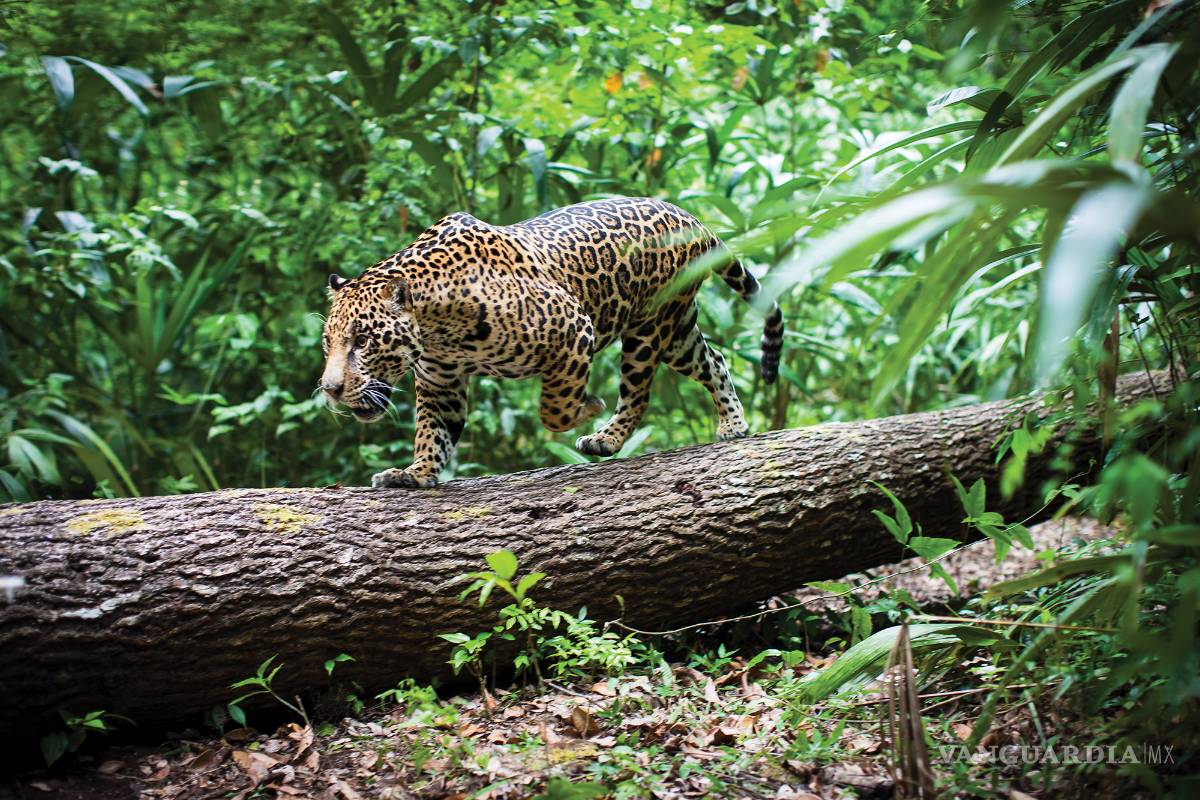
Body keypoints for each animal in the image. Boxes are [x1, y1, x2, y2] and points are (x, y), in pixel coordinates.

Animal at [319, 196, 784, 488]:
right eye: (328, 344)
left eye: (363, 341)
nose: (330, 388)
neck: (437, 325)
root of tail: (688, 217)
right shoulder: (440, 382)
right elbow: (433, 432)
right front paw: (415, 474)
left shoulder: (574, 327)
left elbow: (554, 411)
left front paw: (585, 407)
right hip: (677, 331)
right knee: (714, 360)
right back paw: (733, 424)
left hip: (649, 328)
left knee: (637, 394)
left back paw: (606, 437)